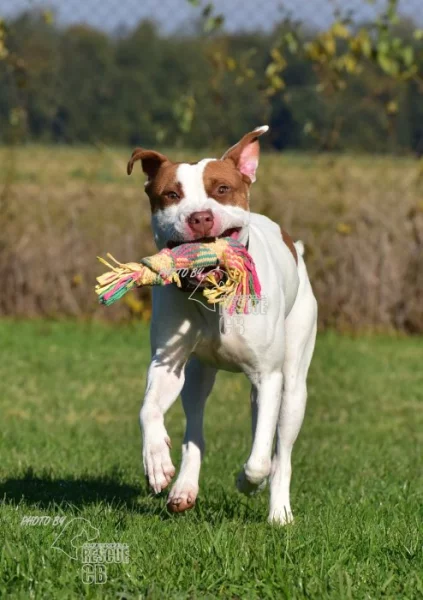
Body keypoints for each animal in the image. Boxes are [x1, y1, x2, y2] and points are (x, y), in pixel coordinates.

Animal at [127, 125, 316, 520]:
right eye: (172, 194)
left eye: (222, 189)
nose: (200, 217)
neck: (214, 294)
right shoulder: (167, 364)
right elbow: (148, 409)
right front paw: (156, 462)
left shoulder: (268, 377)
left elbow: (261, 459)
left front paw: (248, 482)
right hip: (198, 374)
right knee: (195, 429)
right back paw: (183, 488)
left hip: (294, 383)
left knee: (281, 449)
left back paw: (279, 512)